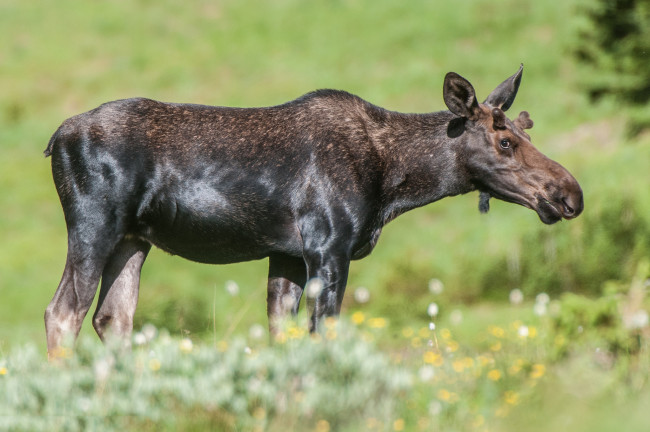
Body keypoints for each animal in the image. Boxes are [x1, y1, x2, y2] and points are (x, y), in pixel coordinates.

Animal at [44, 65, 584, 358]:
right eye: (505, 140)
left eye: (526, 129)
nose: (569, 194)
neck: (395, 183)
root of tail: (55, 140)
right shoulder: (329, 246)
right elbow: (324, 335)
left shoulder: (285, 255)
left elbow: (283, 338)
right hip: (93, 224)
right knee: (63, 312)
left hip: (134, 239)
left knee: (112, 318)